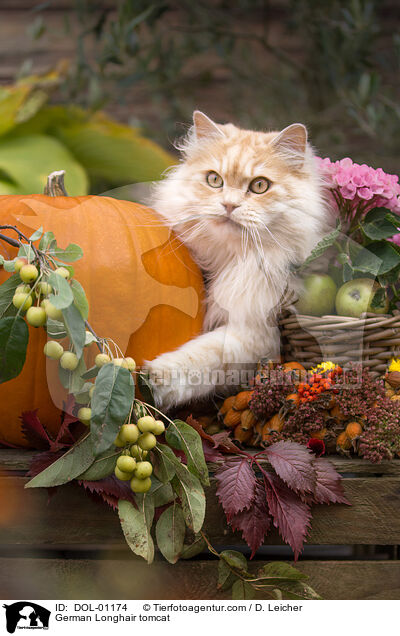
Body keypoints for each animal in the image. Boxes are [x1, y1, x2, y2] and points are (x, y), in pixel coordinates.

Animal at [145, 110, 330, 408]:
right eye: (214, 180)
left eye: (259, 186)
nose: (229, 205)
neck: (229, 257)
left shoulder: (258, 331)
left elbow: (204, 353)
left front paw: (154, 378)